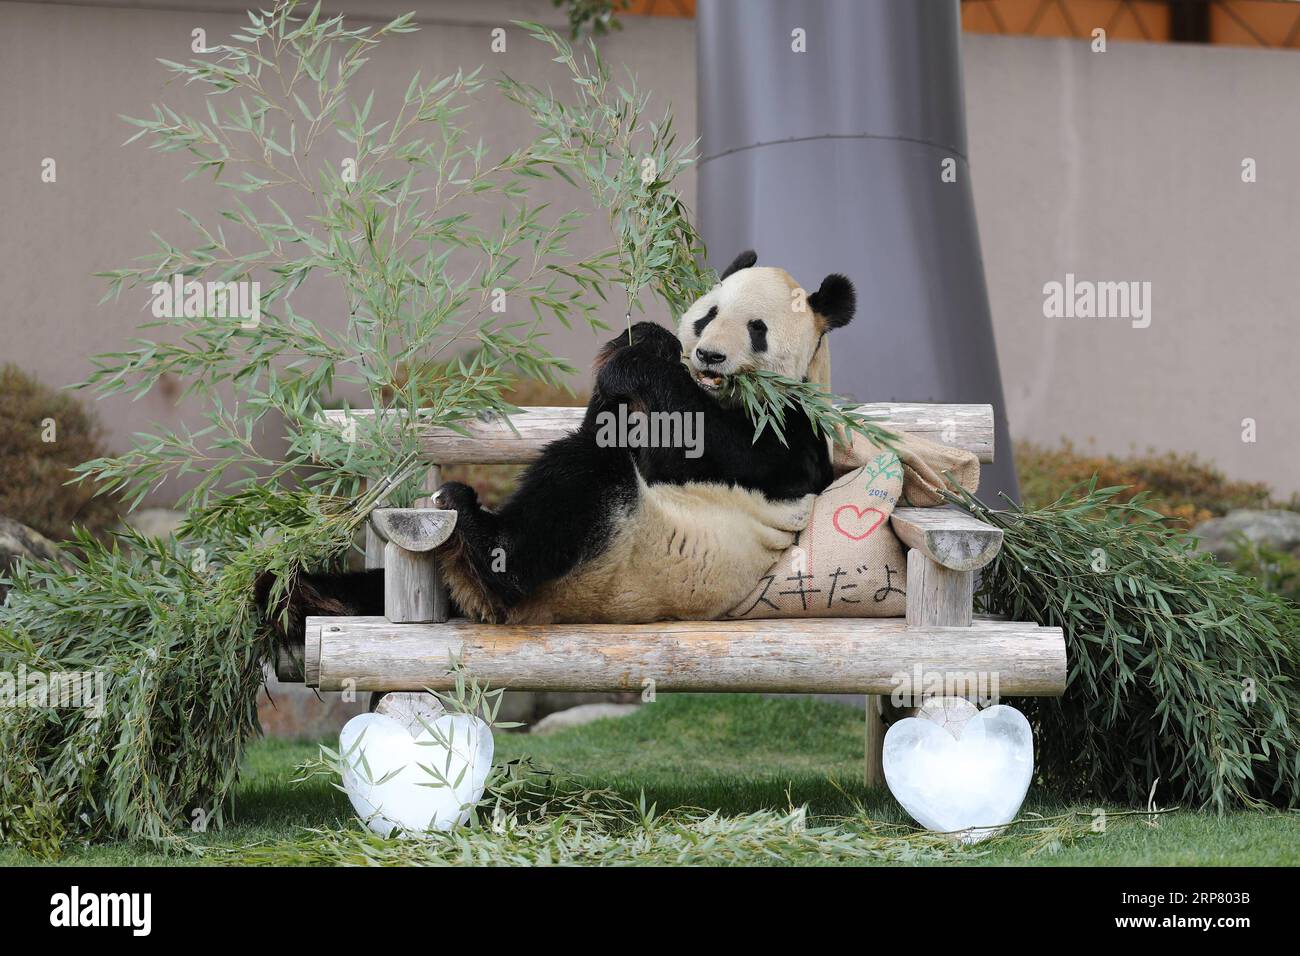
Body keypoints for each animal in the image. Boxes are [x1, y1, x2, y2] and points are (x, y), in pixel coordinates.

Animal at [258, 251, 857, 636]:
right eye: (708, 314)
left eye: (756, 328)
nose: (709, 355)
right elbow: (618, 420)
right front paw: (639, 342)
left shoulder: (796, 428)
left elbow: (749, 454)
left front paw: (639, 358)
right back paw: (298, 593)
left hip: (615, 560)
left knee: (575, 485)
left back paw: (481, 533)